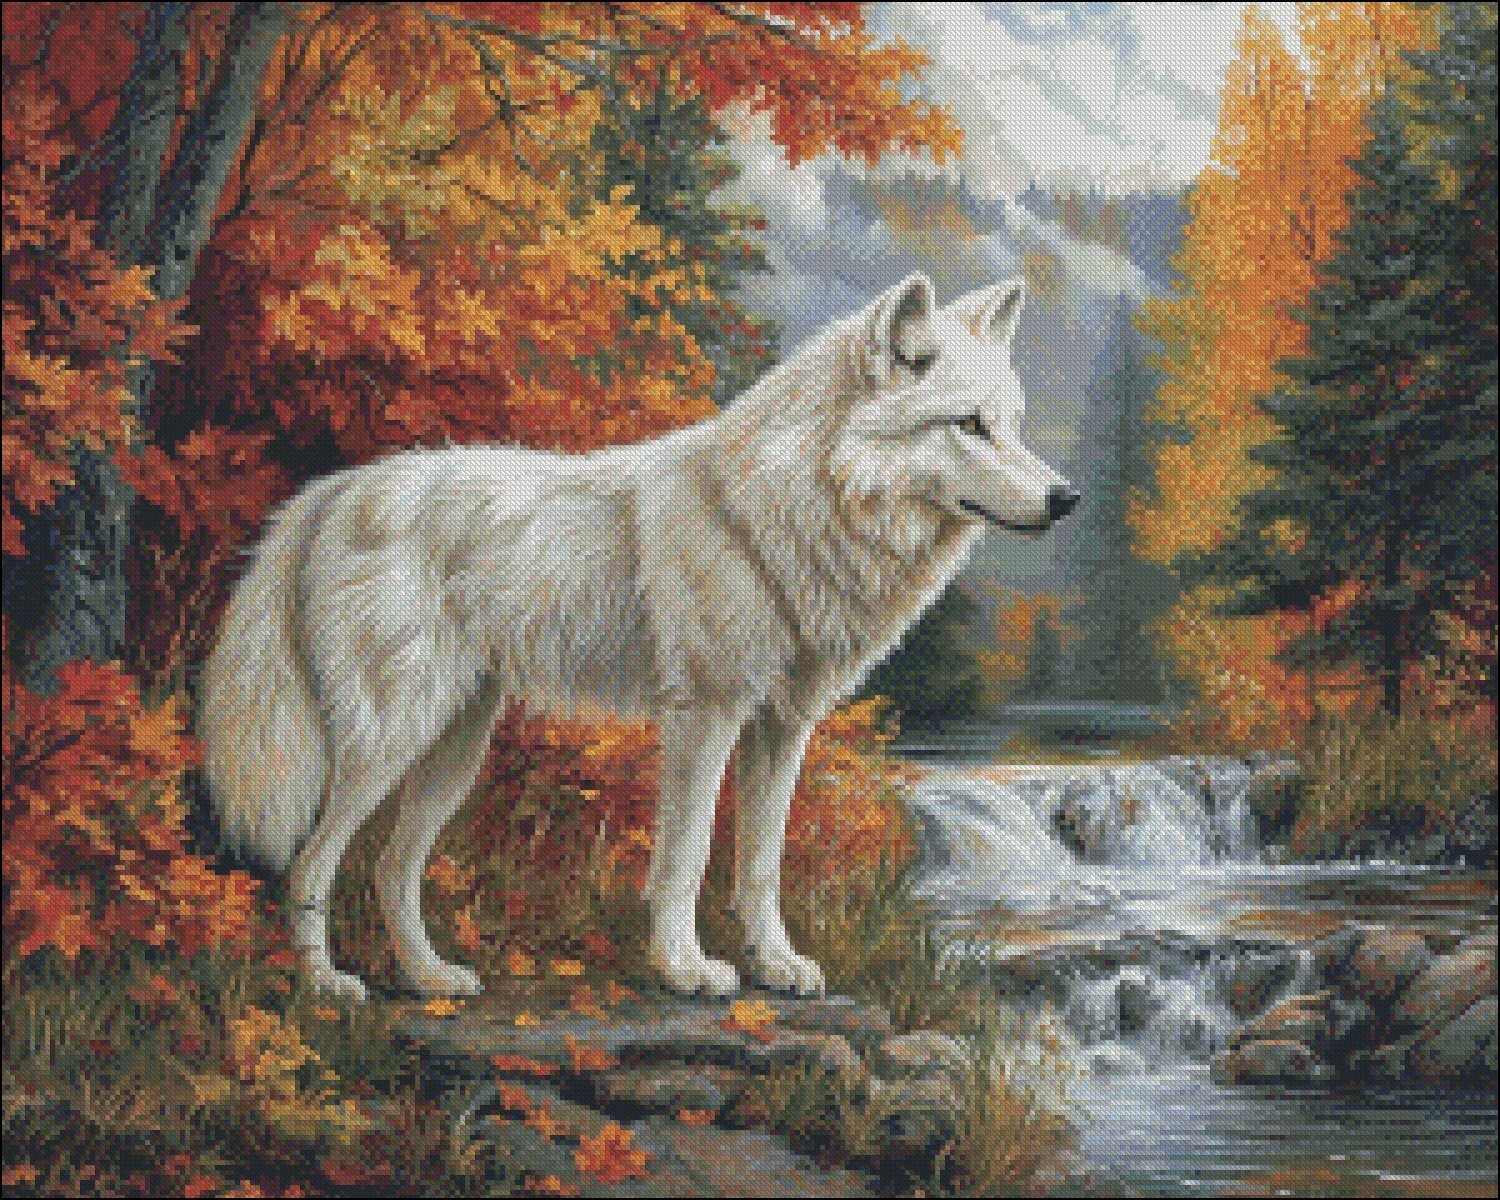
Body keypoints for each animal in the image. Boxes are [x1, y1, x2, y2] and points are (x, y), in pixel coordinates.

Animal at [199, 274, 1078, 1000]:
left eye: (1012, 426)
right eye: (969, 426)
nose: (1066, 499)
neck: (774, 516)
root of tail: (332, 489)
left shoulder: (781, 726)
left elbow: (759, 866)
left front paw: (776, 966)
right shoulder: (705, 716)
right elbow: (685, 860)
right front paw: (687, 970)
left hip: (454, 747)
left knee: (389, 866)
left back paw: (429, 980)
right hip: (389, 740)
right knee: (311, 862)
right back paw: (325, 987)